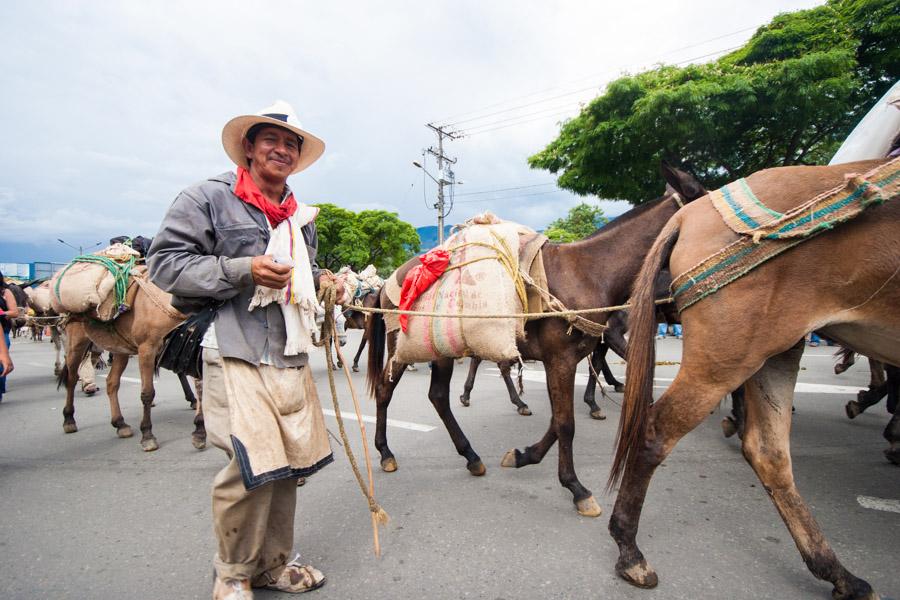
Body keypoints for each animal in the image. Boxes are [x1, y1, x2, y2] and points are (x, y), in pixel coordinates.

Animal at [58, 270, 207, 450]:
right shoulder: (147, 349)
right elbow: (148, 392)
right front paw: (147, 435)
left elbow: (201, 388)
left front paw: (200, 430)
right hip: (77, 343)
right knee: (72, 378)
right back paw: (69, 419)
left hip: (120, 349)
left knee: (111, 382)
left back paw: (120, 423)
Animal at [366, 163, 712, 516]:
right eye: (705, 197)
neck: (589, 274)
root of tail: (388, 283)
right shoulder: (561, 360)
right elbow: (566, 424)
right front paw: (576, 488)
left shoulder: (563, 361)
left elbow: (557, 421)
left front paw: (524, 456)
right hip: (402, 347)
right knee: (385, 390)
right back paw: (386, 452)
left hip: (442, 351)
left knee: (437, 396)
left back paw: (471, 456)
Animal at [608, 159, 896, 600]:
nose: (622, 314)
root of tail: (691, 217)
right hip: (732, 352)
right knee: (656, 431)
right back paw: (629, 550)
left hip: (773, 348)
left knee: (768, 452)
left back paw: (837, 572)